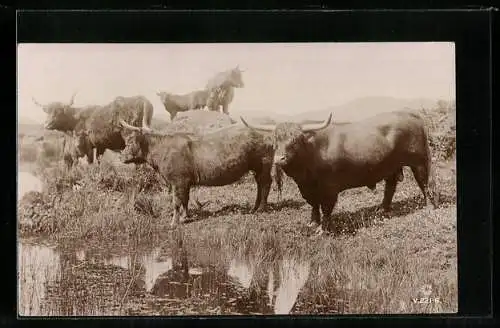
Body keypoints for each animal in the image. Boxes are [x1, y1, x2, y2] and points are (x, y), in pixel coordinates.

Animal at [119, 120, 276, 228]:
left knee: (265, 183)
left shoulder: (178, 181)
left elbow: (176, 202)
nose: (121, 156)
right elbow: (185, 200)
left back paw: (261, 208)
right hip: (257, 168)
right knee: (259, 184)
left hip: (264, 165)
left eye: (130, 142)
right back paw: (254, 207)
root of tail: (267, 134)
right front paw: (185, 217)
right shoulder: (185, 182)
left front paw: (173, 223)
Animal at [240, 111, 440, 234]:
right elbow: (314, 205)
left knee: (424, 183)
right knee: (390, 186)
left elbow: (326, 208)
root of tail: (410, 114)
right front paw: (313, 222)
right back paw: (382, 209)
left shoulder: (330, 188)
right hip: (391, 166)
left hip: (419, 162)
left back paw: (429, 206)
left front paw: (323, 229)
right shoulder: (307, 188)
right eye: (275, 141)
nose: (279, 159)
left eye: (295, 141)